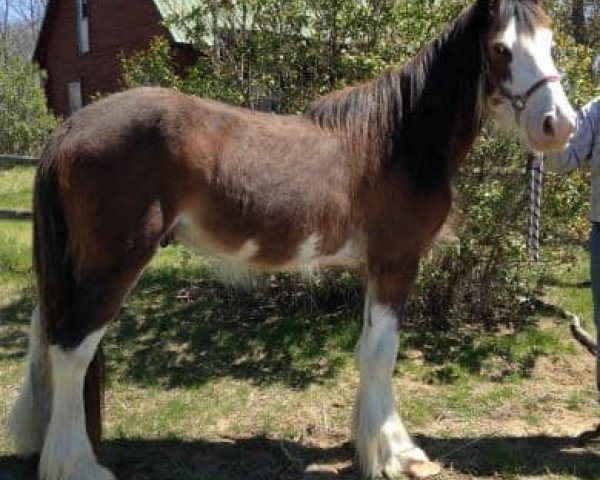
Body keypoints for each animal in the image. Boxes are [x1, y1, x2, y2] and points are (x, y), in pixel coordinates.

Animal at [5, 0, 576, 480]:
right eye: (501, 49)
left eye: (551, 43)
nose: (559, 125)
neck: (397, 140)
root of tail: (71, 126)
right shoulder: (396, 263)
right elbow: (382, 354)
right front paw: (396, 455)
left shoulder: (373, 269)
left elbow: (367, 351)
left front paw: (367, 445)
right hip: (113, 264)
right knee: (71, 350)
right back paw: (77, 466)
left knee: (45, 335)